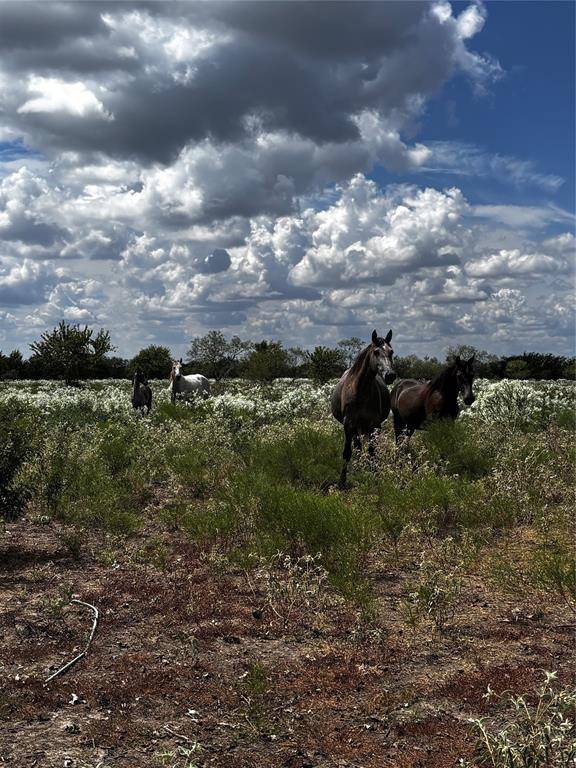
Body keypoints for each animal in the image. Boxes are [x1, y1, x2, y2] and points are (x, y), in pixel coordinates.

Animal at [332, 328, 396, 486]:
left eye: (391, 351)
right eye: (376, 352)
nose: (390, 375)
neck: (360, 390)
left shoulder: (374, 424)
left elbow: (372, 452)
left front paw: (374, 475)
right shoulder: (348, 424)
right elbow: (347, 452)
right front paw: (342, 482)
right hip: (356, 427)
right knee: (357, 447)